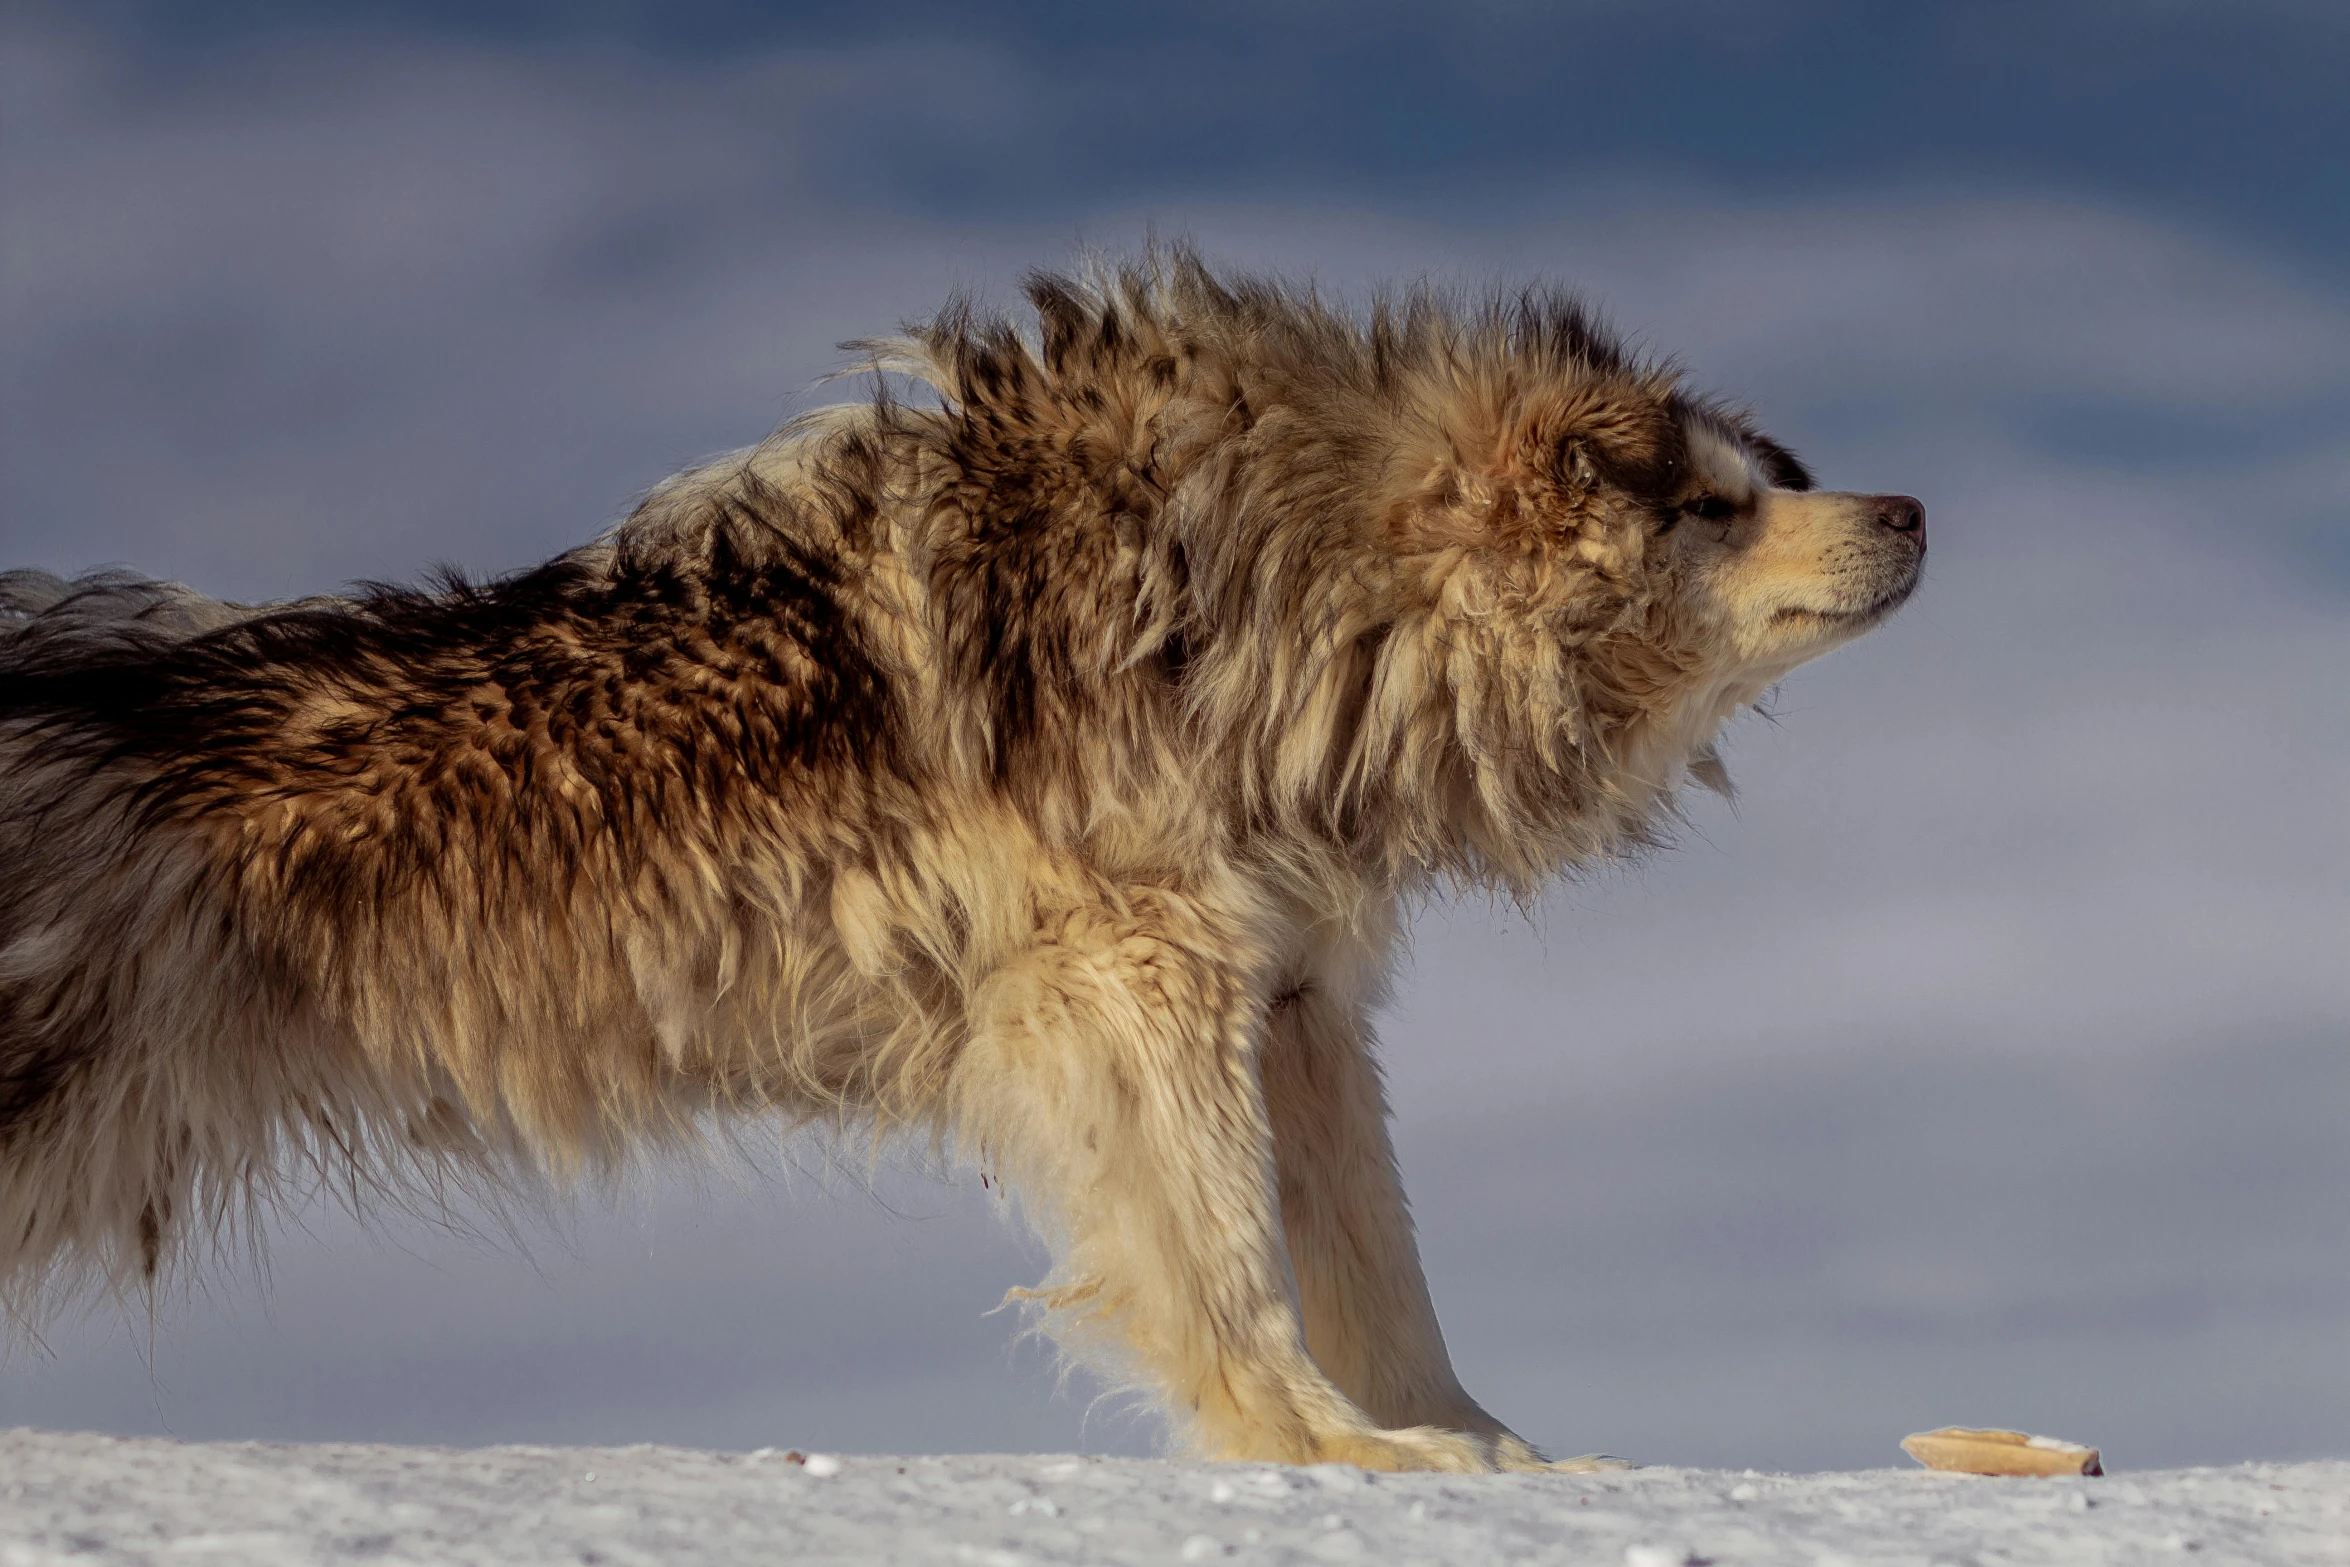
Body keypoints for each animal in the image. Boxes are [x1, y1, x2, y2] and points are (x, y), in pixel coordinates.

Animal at [0, 254, 1917, 1475]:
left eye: (1769, 475)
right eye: (1708, 506)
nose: (1907, 510)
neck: (1282, 601)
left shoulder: (1300, 997)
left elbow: (1384, 1281)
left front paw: (1485, 1453)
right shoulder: (1137, 982)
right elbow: (1232, 1265)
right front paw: (1329, 1449)